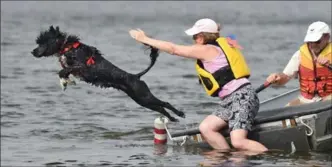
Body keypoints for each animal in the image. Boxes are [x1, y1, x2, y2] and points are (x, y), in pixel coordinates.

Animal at [31, 25, 185, 121]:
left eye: (42, 42)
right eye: (38, 42)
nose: (33, 51)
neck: (67, 47)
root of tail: (136, 76)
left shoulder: (82, 67)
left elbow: (64, 70)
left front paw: (65, 79)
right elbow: (63, 72)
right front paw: (65, 81)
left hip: (143, 95)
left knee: (164, 103)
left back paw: (180, 113)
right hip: (141, 100)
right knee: (160, 108)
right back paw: (173, 118)